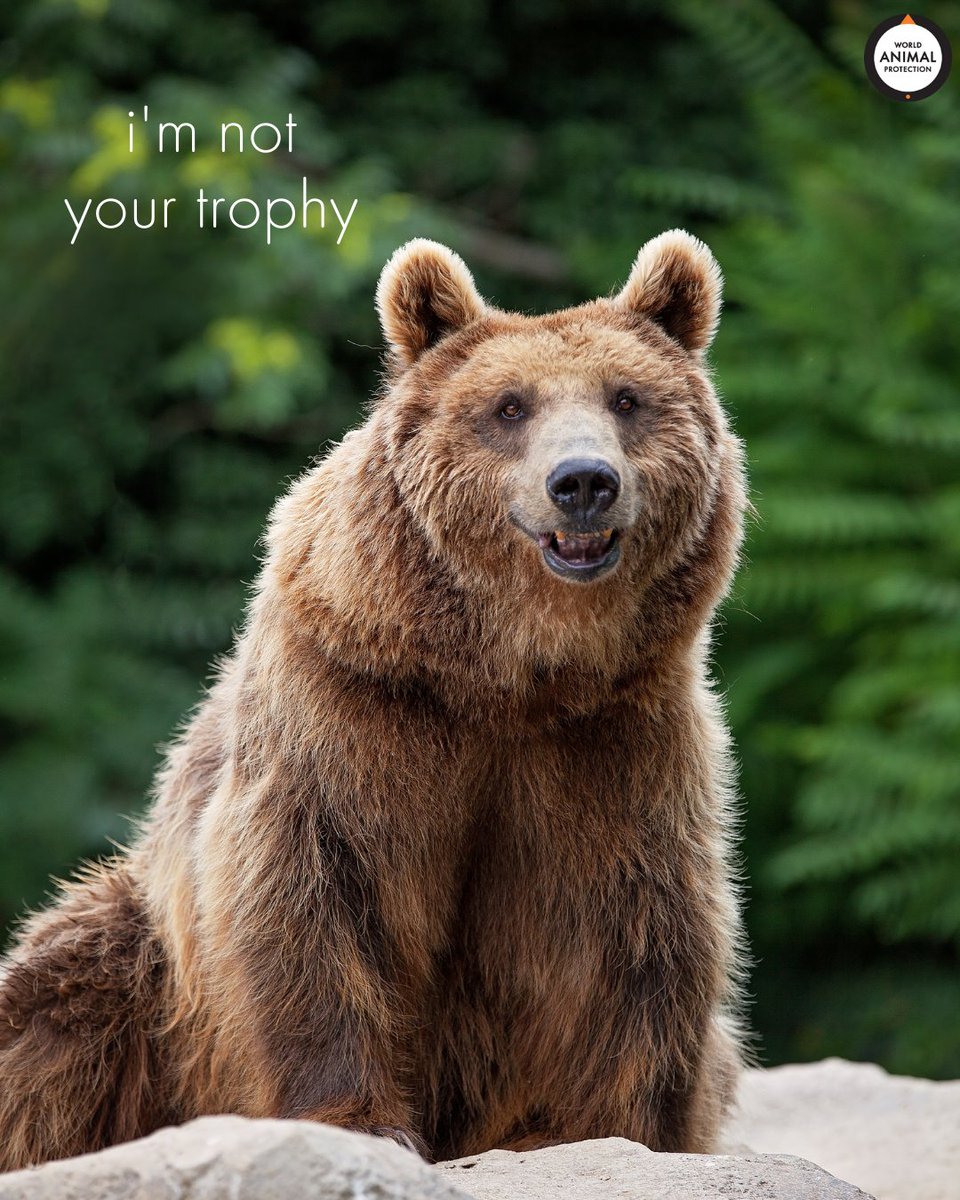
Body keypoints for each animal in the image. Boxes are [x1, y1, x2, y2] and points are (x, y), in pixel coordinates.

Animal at [0, 230, 747, 1170]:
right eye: (509, 407)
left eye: (628, 398)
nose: (583, 481)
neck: (512, 673)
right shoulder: (355, 698)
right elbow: (314, 884)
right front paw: (360, 1117)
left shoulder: (615, 738)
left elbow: (632, 927)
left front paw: (599, 1128)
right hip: (145, 968)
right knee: (58, 1002)